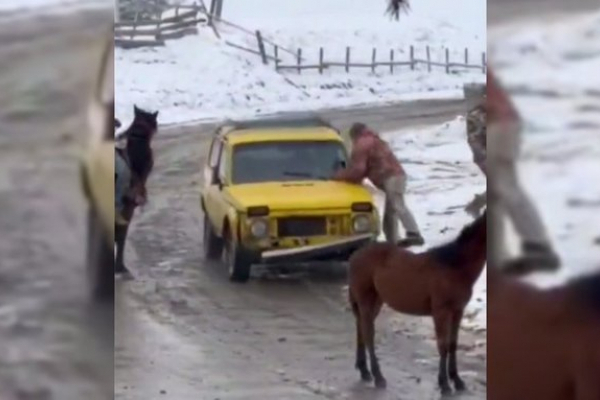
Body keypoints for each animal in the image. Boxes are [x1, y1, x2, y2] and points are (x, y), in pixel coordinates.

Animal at [350, 212, 486, 394]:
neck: (454, 266)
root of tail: (355, 256)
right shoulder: (441, 312)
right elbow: (443, 345)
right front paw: (444, 384)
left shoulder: (458, 311)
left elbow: (452, 344)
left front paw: (457, 381)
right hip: (366, 300)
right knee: (368, 334)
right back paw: (378, 377)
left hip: (376, 302)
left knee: (361, 329)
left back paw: (364, 371)